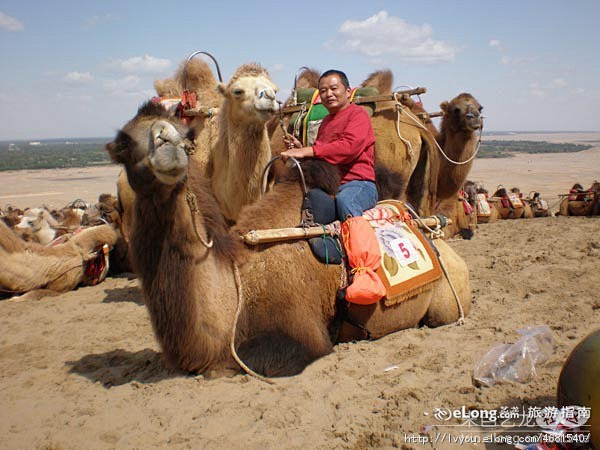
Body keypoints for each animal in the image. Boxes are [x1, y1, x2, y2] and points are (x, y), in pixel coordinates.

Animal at [106, 101, 474, 376]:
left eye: (186, 138)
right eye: (124, 142)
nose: (167, 143)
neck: (237, 284)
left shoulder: (302, 337)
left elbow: (250, 361)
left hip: (448, 299)